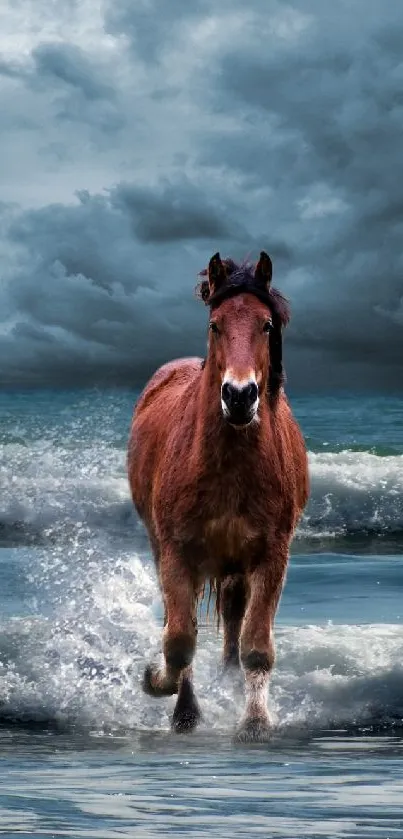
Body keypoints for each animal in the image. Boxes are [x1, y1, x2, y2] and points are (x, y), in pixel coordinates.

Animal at [129, 249, 310, 740]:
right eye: (215, 324)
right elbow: (178, 639)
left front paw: (255, 721)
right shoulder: (177, 552)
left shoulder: (272, 555)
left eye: (266, 325)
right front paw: (162, 689)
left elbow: (256, 646)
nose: (240, 395)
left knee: (233, 619)